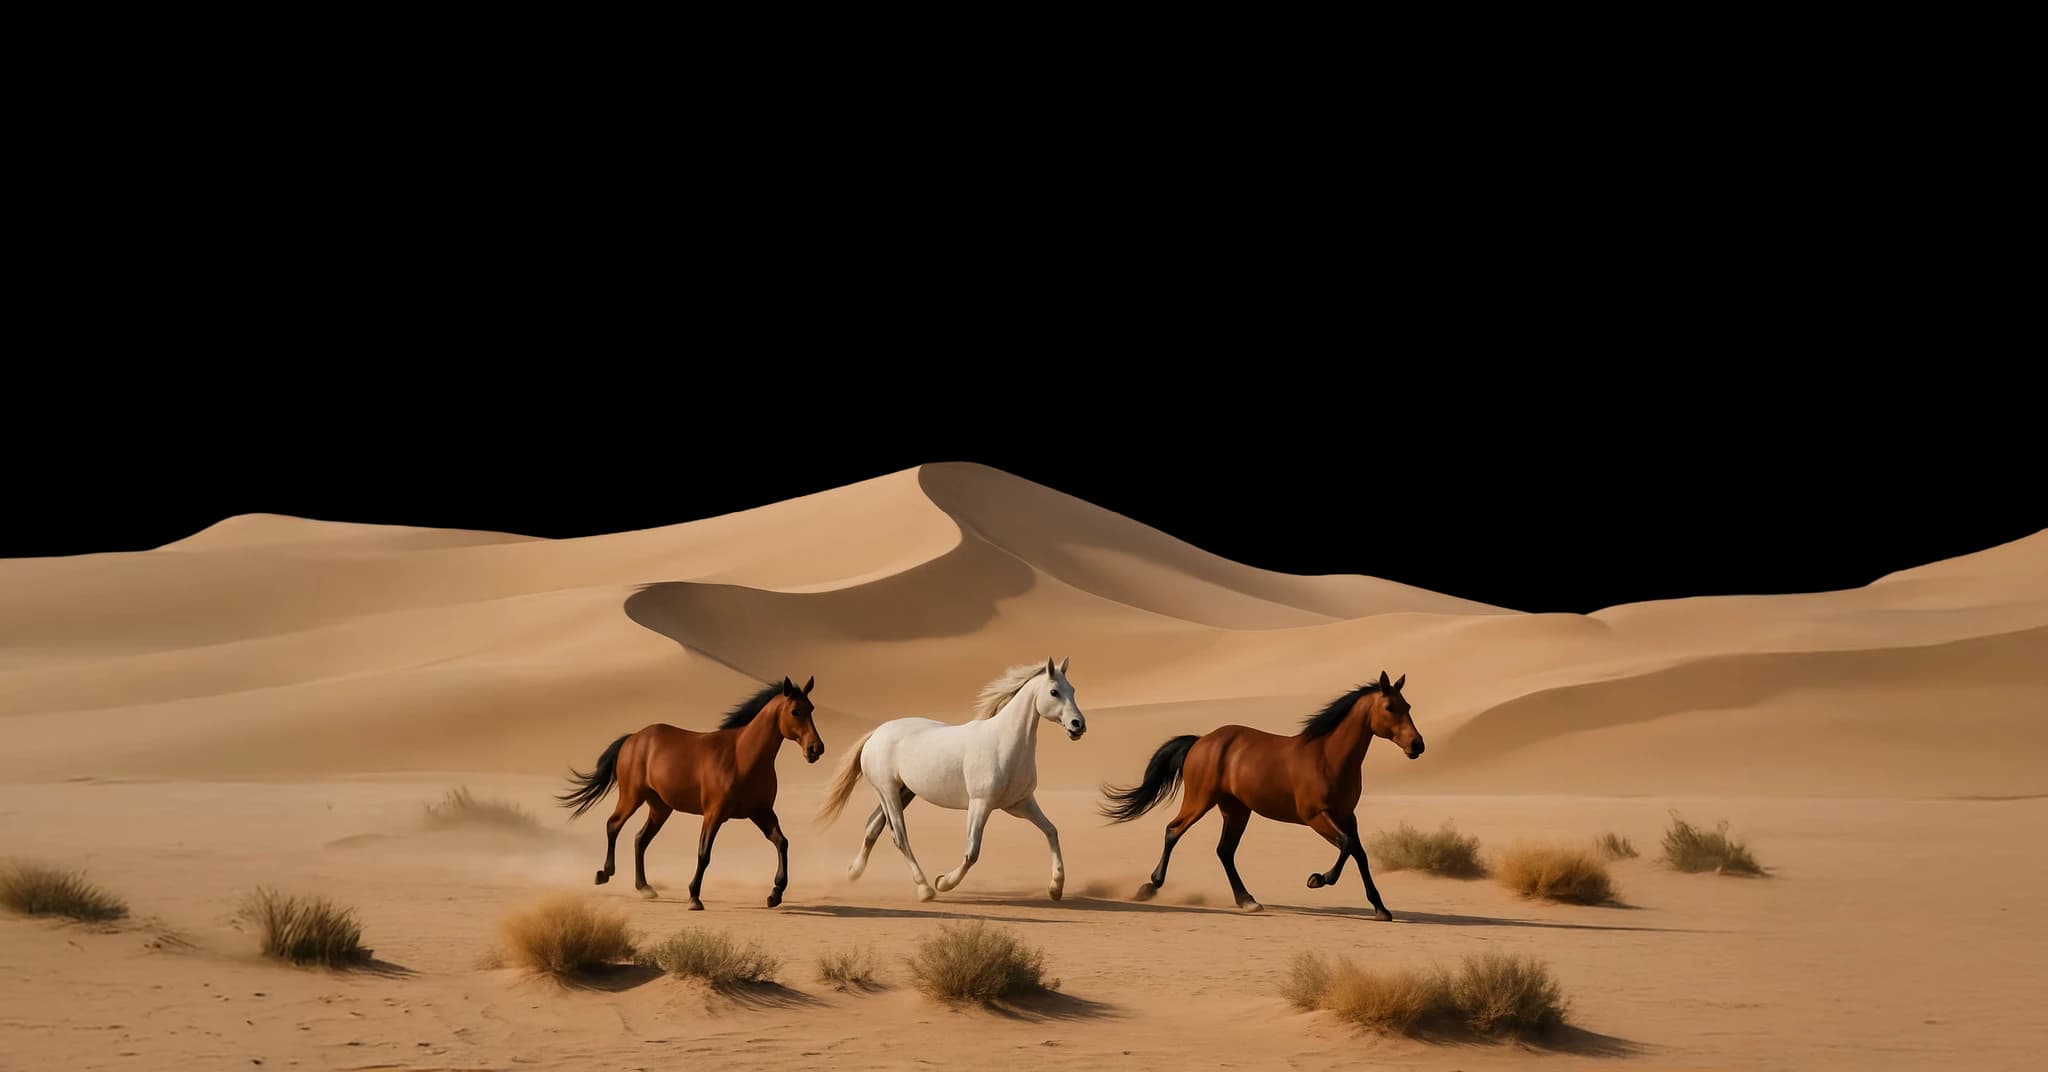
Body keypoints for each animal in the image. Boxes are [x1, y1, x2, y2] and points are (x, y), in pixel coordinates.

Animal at [556, 675, 824, 910]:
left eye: (811, 708)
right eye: (795, 711)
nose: (816, 749)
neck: (742, 756)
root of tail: (633, 739)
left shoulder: (761, 811)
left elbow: (781, 842)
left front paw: (775, 894)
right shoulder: (714, 814)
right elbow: (704, 854)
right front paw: (694, 897)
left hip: (660, 807)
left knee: (640, 839)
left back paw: (644, 887)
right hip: (632, 797)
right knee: (613, 825)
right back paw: (604, 873)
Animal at [815, 658, 1087, 903]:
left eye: (1073, 690)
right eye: (1054, 692)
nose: (1078, 725)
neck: (1006, 743)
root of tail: (876, 734)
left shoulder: (1020, 803)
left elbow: (1051, 831)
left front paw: (1056, 888)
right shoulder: (981, 804)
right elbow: (971, 853)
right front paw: (943, 882)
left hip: (904, 792)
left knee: (873, 826)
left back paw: (853, 872)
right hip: (888, 791)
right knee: (899, 837)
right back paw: (925, 889)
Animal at [1098, 671, 1423, 920]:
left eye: (1407, 705)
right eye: (1390, 707)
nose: (1417, 745)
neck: (1328, 757)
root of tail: (1201, 741)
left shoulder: (1346, 815)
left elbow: (1359, 852)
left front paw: (1380, 908)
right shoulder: (1316, 815)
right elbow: (1347, 846)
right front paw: (1317, 879)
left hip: (1236, 810)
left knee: (1224, 851)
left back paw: (1247, 900)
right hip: (1201, 800)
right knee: (1173, 831)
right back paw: (1150, 886)